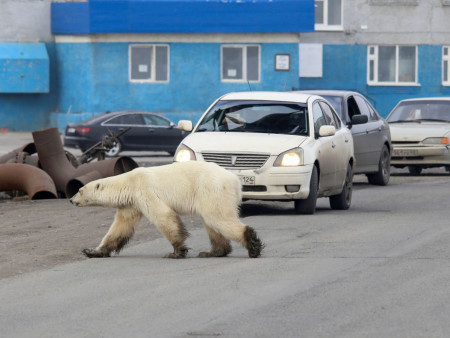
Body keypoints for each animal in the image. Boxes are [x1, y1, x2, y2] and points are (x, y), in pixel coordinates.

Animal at [70, 161, 264, 258]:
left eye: (79, 190)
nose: (71, 200)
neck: (128, 183)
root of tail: (235, 180)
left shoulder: (144, 190)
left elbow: (163, 216)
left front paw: (177, 252)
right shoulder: (131, 203)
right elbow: (120, 227)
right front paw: (92, 251)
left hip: (211, 189)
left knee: (218, 218)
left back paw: (252, 245)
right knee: (212, 223)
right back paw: (212, 252)